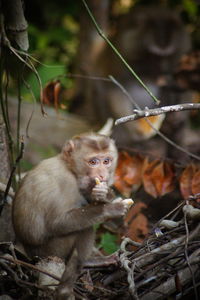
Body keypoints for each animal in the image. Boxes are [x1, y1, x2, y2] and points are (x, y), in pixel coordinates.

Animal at [11, 132, 132, 298]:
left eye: (106, 161)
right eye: (93, 162)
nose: (102, 175)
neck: (70, 169)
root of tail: (30, 255)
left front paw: (104, 194)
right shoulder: (66, 183)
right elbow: (57, 223)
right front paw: (109, 209)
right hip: (52, 251)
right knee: (84, 229)